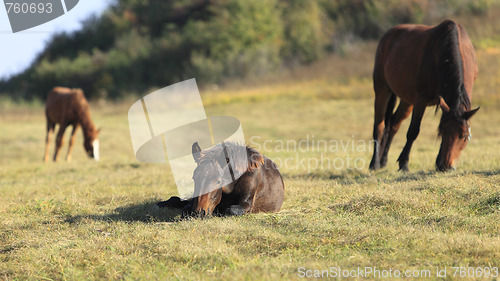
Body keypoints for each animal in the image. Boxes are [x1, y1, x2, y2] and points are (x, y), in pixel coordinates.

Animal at [158, 142, 288, 217]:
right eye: (194, 178)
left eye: (218, 181)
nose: (199, 213)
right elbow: (185, 208)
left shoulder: (247, 204)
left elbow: (231, 210)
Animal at [370, 19, 478, 171]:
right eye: (443, 132)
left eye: (463, 136)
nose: (447, 166)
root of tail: (387, 36)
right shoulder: (421, 99)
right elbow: (413, 131)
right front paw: (404, 163)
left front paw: (438, 162)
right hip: (382, 90)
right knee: (379, 126)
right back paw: (374, 163)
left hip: (407, 100)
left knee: (393, 123)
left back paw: (383, 160)